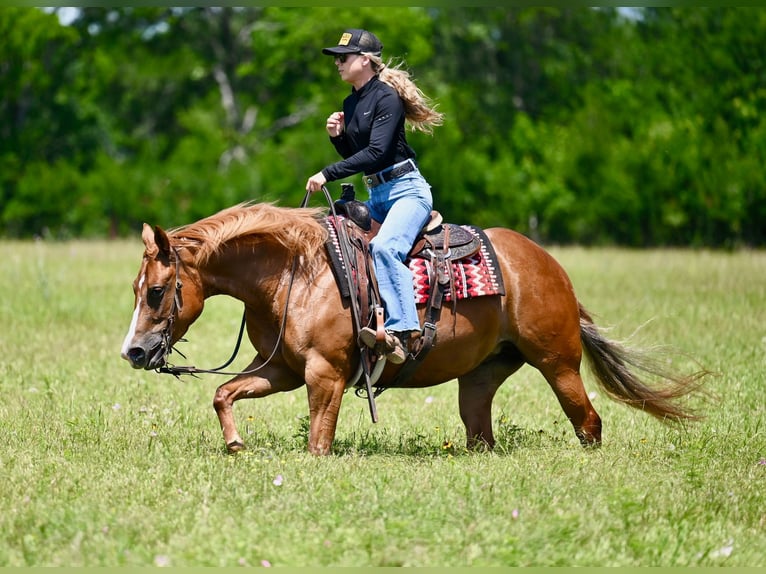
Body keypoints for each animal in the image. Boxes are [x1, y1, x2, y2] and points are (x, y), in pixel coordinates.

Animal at [120, 201, 707, 455]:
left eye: (157, 291)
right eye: (135, 288)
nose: (133, 352)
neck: (295, 271)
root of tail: (550, 268)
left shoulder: (324, 374)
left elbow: (318, 441)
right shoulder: (283, 369)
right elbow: (224, 393)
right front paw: (236, 444)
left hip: (558, 363)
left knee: (589, 423)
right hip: (482, 377)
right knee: (480, 432)